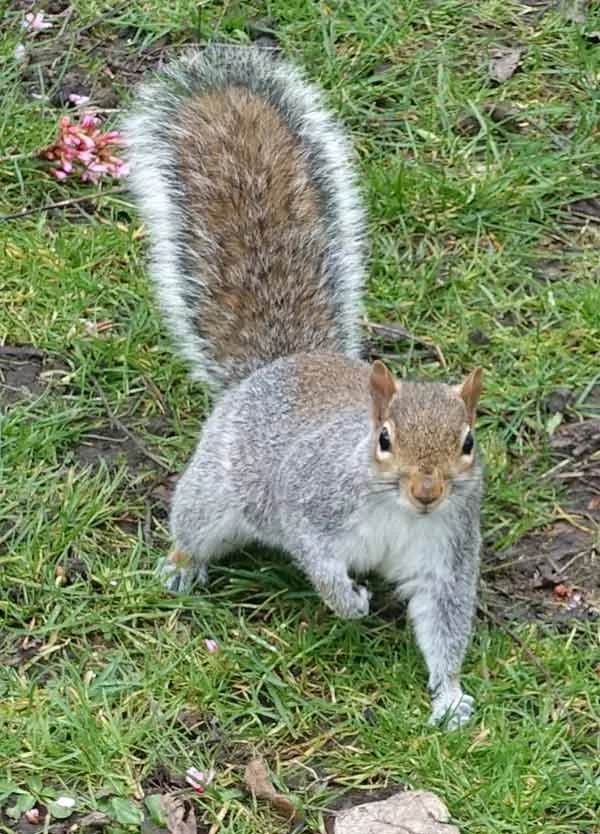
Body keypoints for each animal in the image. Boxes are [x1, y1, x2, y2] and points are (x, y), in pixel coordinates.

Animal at [124, 44, 484, 729]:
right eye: (384, 439)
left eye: (469, 443)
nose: (428, 492)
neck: (398, 510)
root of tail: (281, 364)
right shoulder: (312, 502)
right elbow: (311, 551)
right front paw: (347, 601)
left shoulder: (447, 551)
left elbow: (444, 620)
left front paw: (450, 695)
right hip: (214, 492)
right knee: (195, 527)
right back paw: (181, 567)